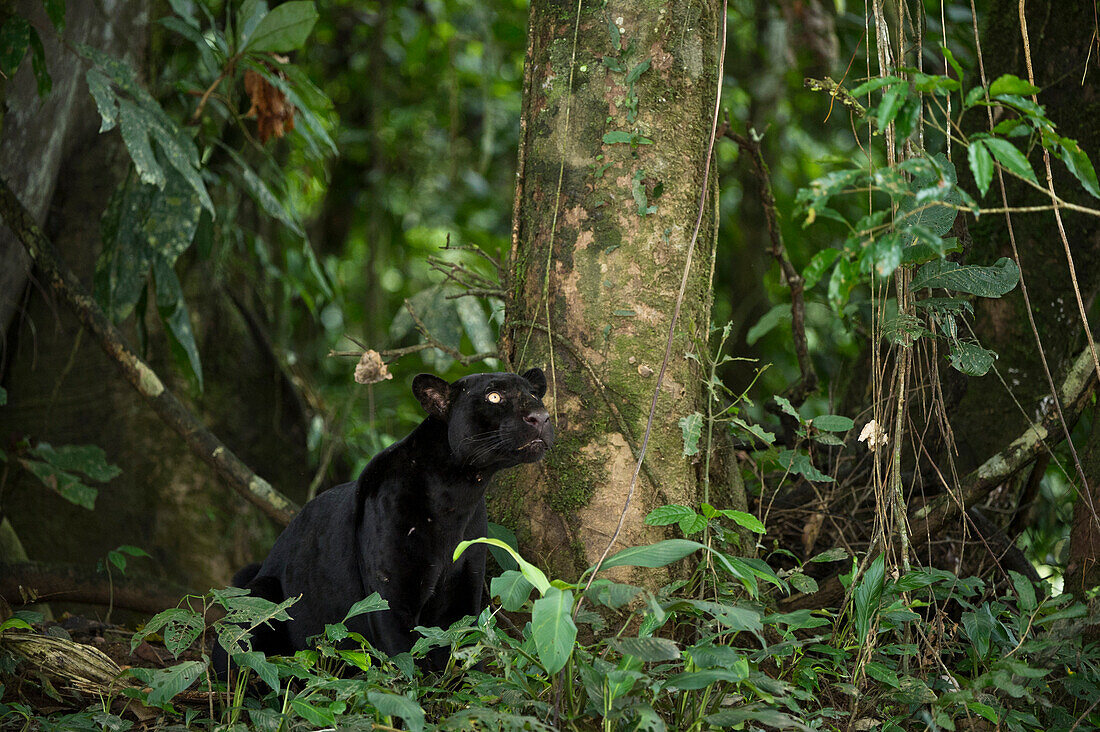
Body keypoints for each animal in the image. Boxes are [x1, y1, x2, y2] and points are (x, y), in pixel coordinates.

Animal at [211, 367, 554, 669]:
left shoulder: (463, 595)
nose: (542, 417)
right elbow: (407, 661)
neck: (457, 494)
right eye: (494, 396)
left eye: (533, 395)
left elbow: (461, 657)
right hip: (259, 595)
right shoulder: (391, 595)